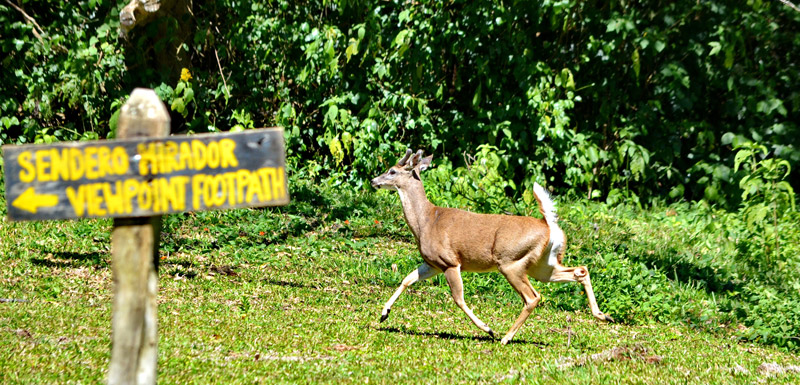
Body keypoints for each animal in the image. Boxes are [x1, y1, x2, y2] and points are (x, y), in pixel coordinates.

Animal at [372, 148, 616, 344]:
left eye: (392, 171)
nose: (374, 181)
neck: (426, 221)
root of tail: (548, 225)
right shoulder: (433, 263)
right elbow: (407, 279)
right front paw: (384, 314)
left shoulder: (450, 261)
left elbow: (458, 298)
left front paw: (488, 329)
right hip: (543, 264)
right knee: (580, 270)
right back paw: (603, 315)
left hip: (511, 261)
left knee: (533, 297)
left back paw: (505, 337)